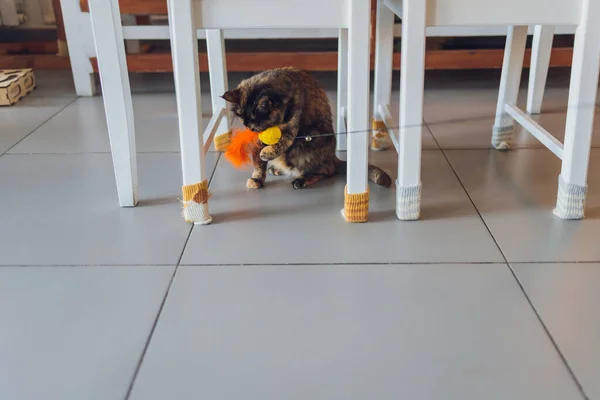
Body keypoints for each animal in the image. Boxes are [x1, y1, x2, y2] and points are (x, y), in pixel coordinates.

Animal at [223, 67, 392, 189]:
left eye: (255, 122)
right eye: (242, 119)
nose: (251, 129)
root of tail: (333, 158)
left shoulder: (292, 125)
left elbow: (282, 142)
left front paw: (267, 152)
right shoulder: (258, 142)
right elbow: (258, 163)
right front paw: (257, 178)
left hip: (309, 141)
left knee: (326, 171)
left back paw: (302, 180)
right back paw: (277, 169)